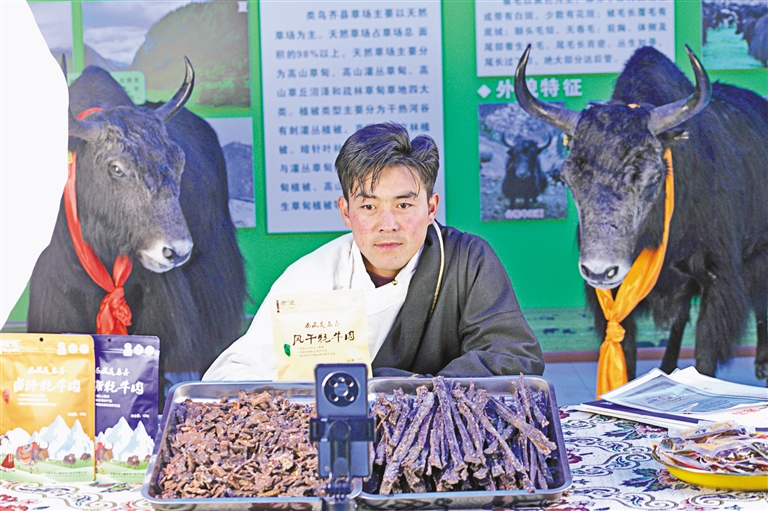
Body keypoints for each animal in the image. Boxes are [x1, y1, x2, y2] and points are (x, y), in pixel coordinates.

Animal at [514, 44, 768, 383]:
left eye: (653, 175)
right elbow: (627, 351)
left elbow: (705, 355)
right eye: (566, 177)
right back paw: (668, 366)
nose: (599, 271)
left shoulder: (719, 281)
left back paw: (761, 363)